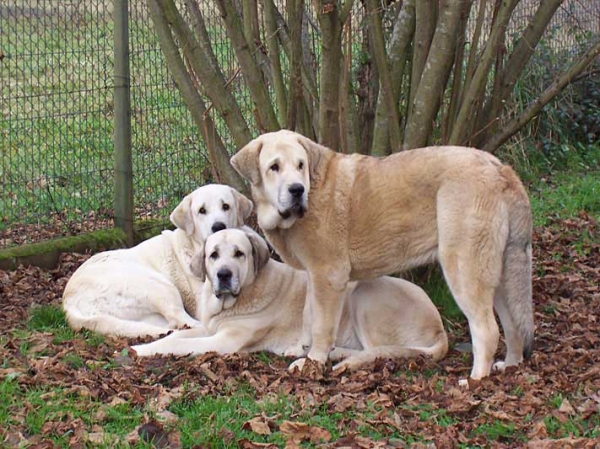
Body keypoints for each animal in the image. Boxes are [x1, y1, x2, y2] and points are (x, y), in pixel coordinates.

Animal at [62, 183, 253, 336]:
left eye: (226, 206)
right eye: (202, 211)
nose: (219, 226)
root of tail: (69, 303)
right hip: (157, 285)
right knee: (182, 320)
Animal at [132, 228, 450, 368]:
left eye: (239, 253)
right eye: (213, 255)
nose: (223, 274)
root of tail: (440, 327)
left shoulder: (225, 341)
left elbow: (179, 344)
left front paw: (143, 351)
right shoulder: (210, 329)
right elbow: (177, 335)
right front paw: (148, 345)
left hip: (364, 294)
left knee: (374, 350)